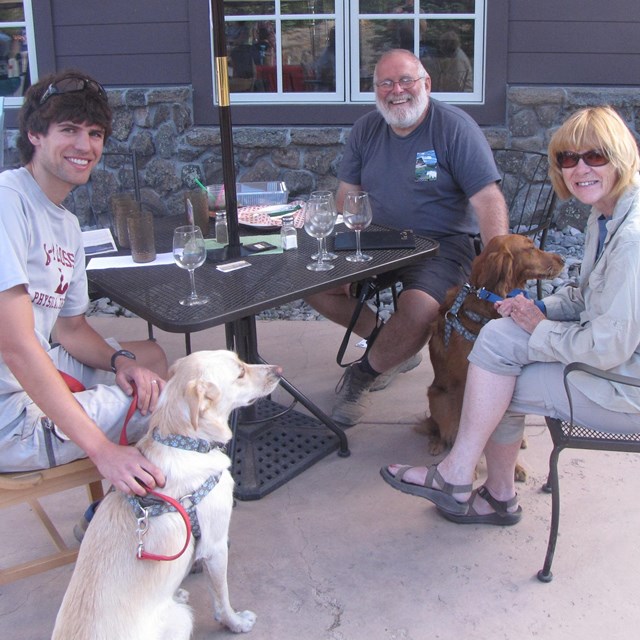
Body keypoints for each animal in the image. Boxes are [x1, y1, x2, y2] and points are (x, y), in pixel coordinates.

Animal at [53, 350, 284, 640]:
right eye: (240, 372)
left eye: (241, 360)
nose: (279, 370)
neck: (185, 442)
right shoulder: (215, 546)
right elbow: (221, 597)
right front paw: (235, 623)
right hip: (182, 619)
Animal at [422, 232, 564, 478]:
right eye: (530, 248)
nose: (563, 260)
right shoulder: (467, 384)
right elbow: (470, 429)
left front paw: (514, 466)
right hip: (438, 397)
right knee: (439, 426)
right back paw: (437, 443)